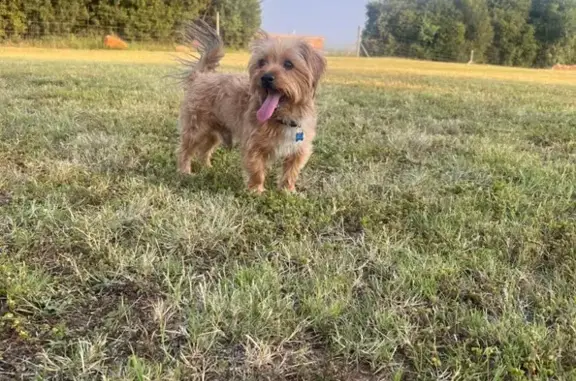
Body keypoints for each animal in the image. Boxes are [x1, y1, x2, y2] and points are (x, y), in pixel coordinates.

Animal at [176, 20, 326, 193]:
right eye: (261, 62)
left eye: (289, 64)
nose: (266, 77)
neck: (282, 117)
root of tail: (201, 77)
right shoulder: (254, 144)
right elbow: (256, 169)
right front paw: (256, 190)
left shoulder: (299, 149)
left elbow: (291, 171)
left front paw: (287, 190)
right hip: (196, 128)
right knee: (185, 150)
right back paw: (184, 171)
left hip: (214, 132)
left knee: (205, 150)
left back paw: (207, 167)